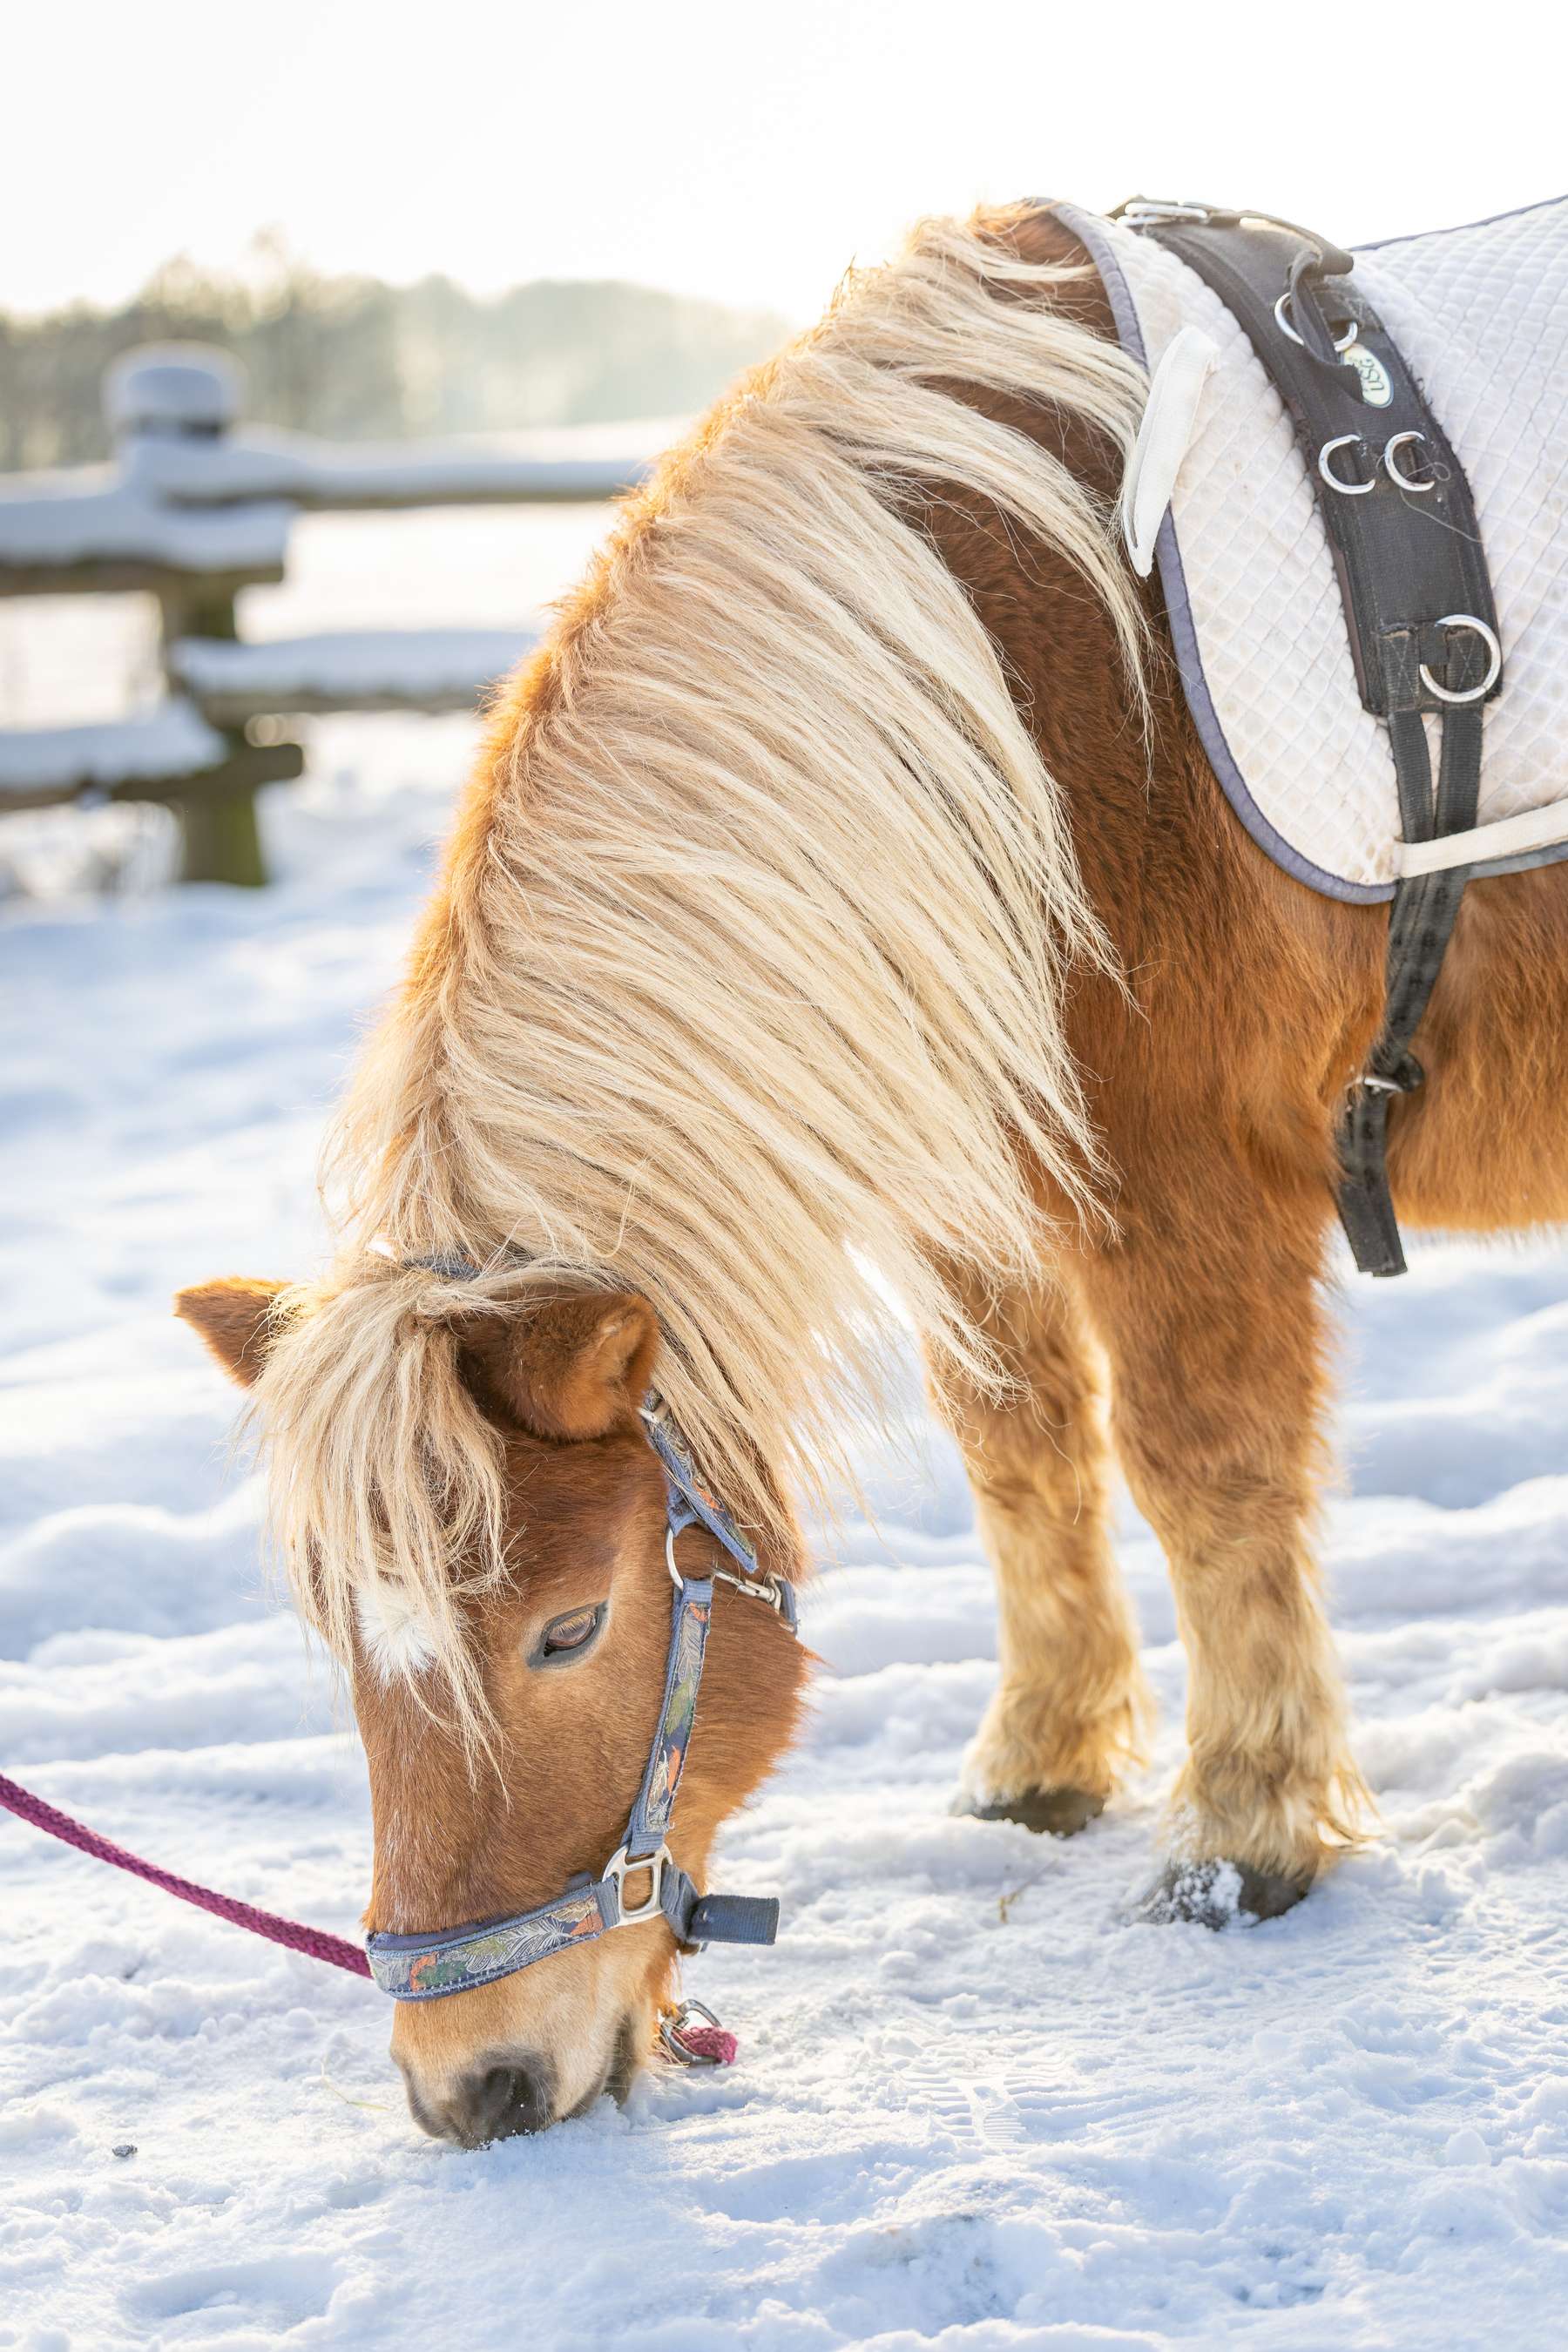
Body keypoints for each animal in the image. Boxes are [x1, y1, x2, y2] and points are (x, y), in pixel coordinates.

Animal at [175, 212, 1568, 2145]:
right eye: (336, 1630)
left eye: (569, 1629)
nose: (477, 2088)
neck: (1040, 693)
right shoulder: (988, 1199)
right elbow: (1022, 1456)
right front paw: (1040, 1770)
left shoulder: (1182, 1188)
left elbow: (1206, 1477)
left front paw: (1244, 1838)